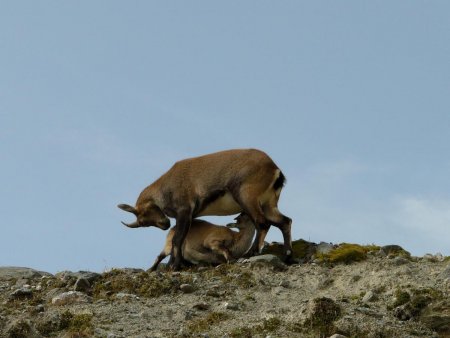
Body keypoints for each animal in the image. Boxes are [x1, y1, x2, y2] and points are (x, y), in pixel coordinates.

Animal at [117, 148, 292, 270]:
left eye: (145, 214)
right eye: (144, 222)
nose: (165, 225)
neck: (166, 186)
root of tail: (275, 170)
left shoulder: (184, 211)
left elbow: (177, 239)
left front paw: (173, 266)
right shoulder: (190, 217)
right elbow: (181, 239)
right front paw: (177, 264)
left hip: (247, 197)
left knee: (262, 223)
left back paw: (251, 254)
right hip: (269, 203)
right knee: (285, 222)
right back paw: (288, 255)